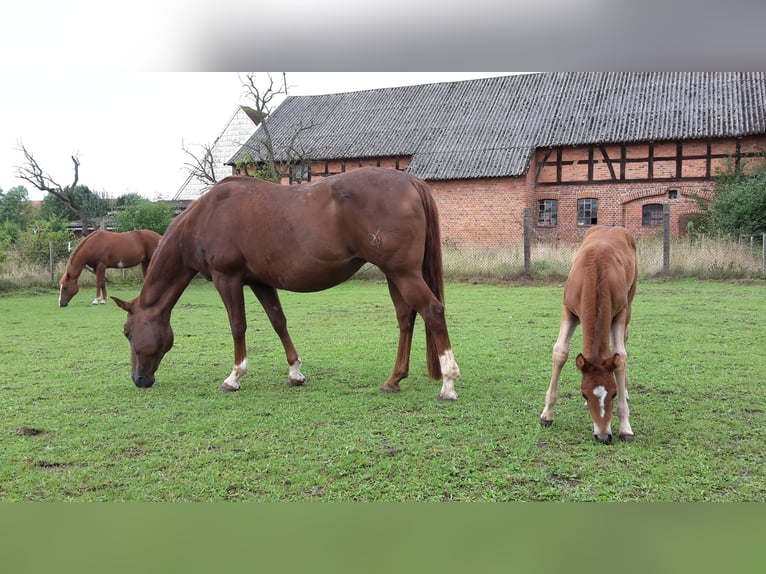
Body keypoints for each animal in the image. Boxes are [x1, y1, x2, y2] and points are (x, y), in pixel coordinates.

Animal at [112, 166, 462, 400]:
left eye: (127, 332)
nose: (139, 379)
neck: (207, 215)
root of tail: (409, 181)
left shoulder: (228, 279)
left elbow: (238, 326)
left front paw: (234, 377)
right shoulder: (260, 282)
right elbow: (278, 321)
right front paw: (295, 372)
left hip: (403, 273)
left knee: (432, 311)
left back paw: (448, 384)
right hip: (395, 274)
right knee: (406, 318)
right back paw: (394, 379)